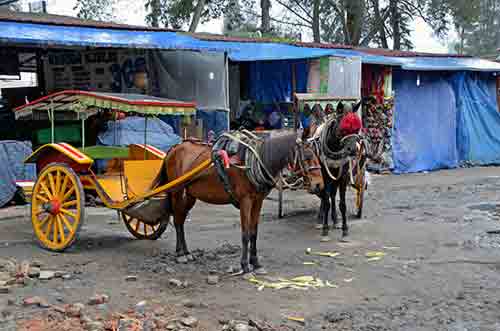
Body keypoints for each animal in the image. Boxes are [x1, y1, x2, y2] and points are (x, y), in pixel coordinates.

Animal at [153, 132, 296, 274]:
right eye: (302, 149)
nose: (287, 176)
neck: (252, 162)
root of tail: (174, 148)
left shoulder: (258, 200)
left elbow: (254, 232)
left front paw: (256, 263)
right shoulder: (245, 201)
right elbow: (245, 233)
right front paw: (245, 266)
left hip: (190, 194)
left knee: (181, 220)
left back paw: (187, 252)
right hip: (176, 191)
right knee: (177, 220)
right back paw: (180, 254)